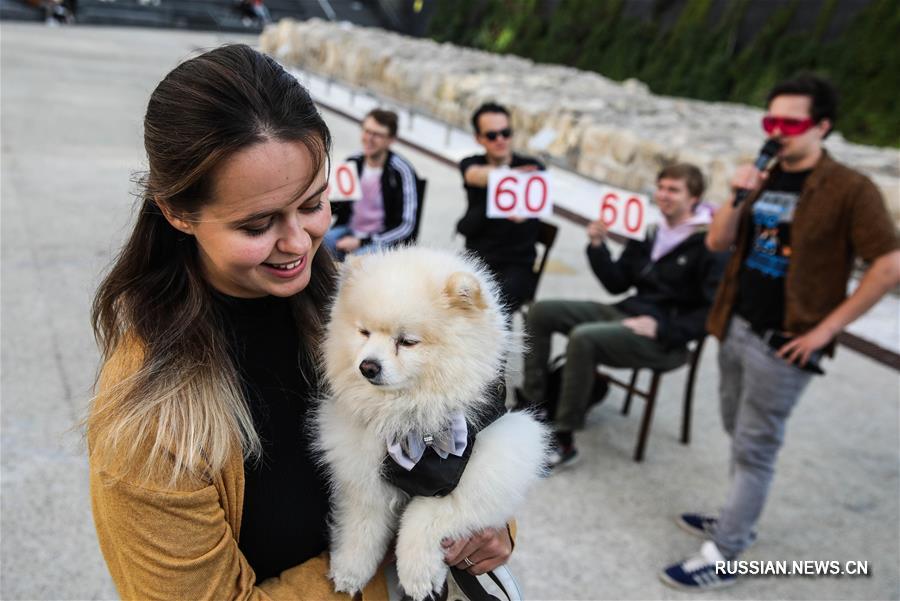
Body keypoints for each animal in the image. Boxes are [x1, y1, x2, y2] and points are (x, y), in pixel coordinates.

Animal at [312, 245, 544, 600]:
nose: (368, 366)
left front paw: (418, 574)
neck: (410, 415)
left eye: (407, 341)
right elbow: (361, 526)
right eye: (364, 332)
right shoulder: (363, 466)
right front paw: (350, 570)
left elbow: (426, 516)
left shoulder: (485, 468)